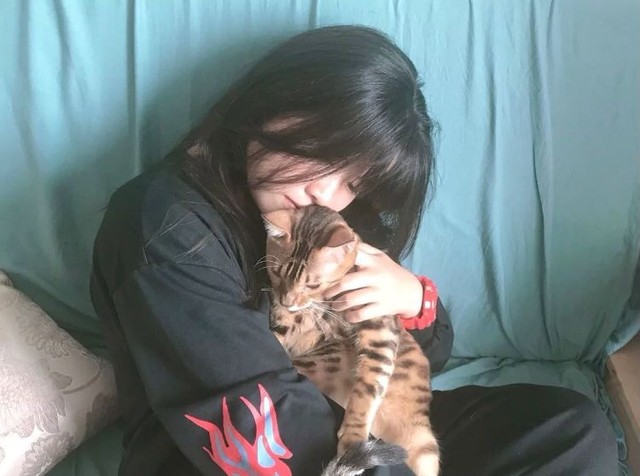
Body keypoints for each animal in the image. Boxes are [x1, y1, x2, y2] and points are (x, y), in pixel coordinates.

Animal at [262, 205, 439, 476]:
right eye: (276, 273)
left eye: (312, 284)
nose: (287, 301)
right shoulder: (282, 321)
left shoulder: (379, 328)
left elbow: (368, 387)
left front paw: (353, 440)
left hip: (425, 448)